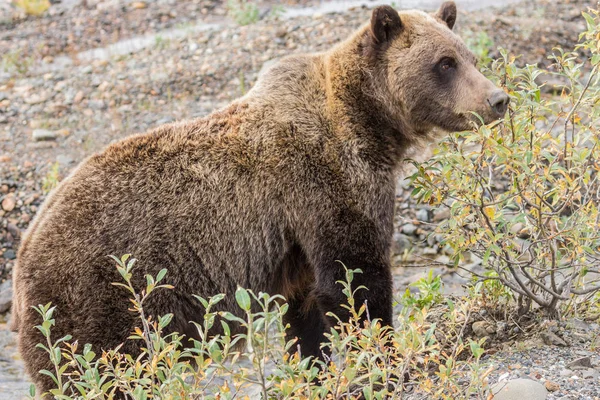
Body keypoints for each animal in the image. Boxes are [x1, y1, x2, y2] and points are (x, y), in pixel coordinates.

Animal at [10, 0, 506, 394]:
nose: (497, 99)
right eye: (444, 62)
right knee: (99, 369)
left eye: (469, 56)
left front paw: (313, 371)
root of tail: (22, 258)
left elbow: (307, 308)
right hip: (97, 298)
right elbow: (356, 282)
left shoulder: (297, 239)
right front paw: (384, 364)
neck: (370, 126)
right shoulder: (324, 187)